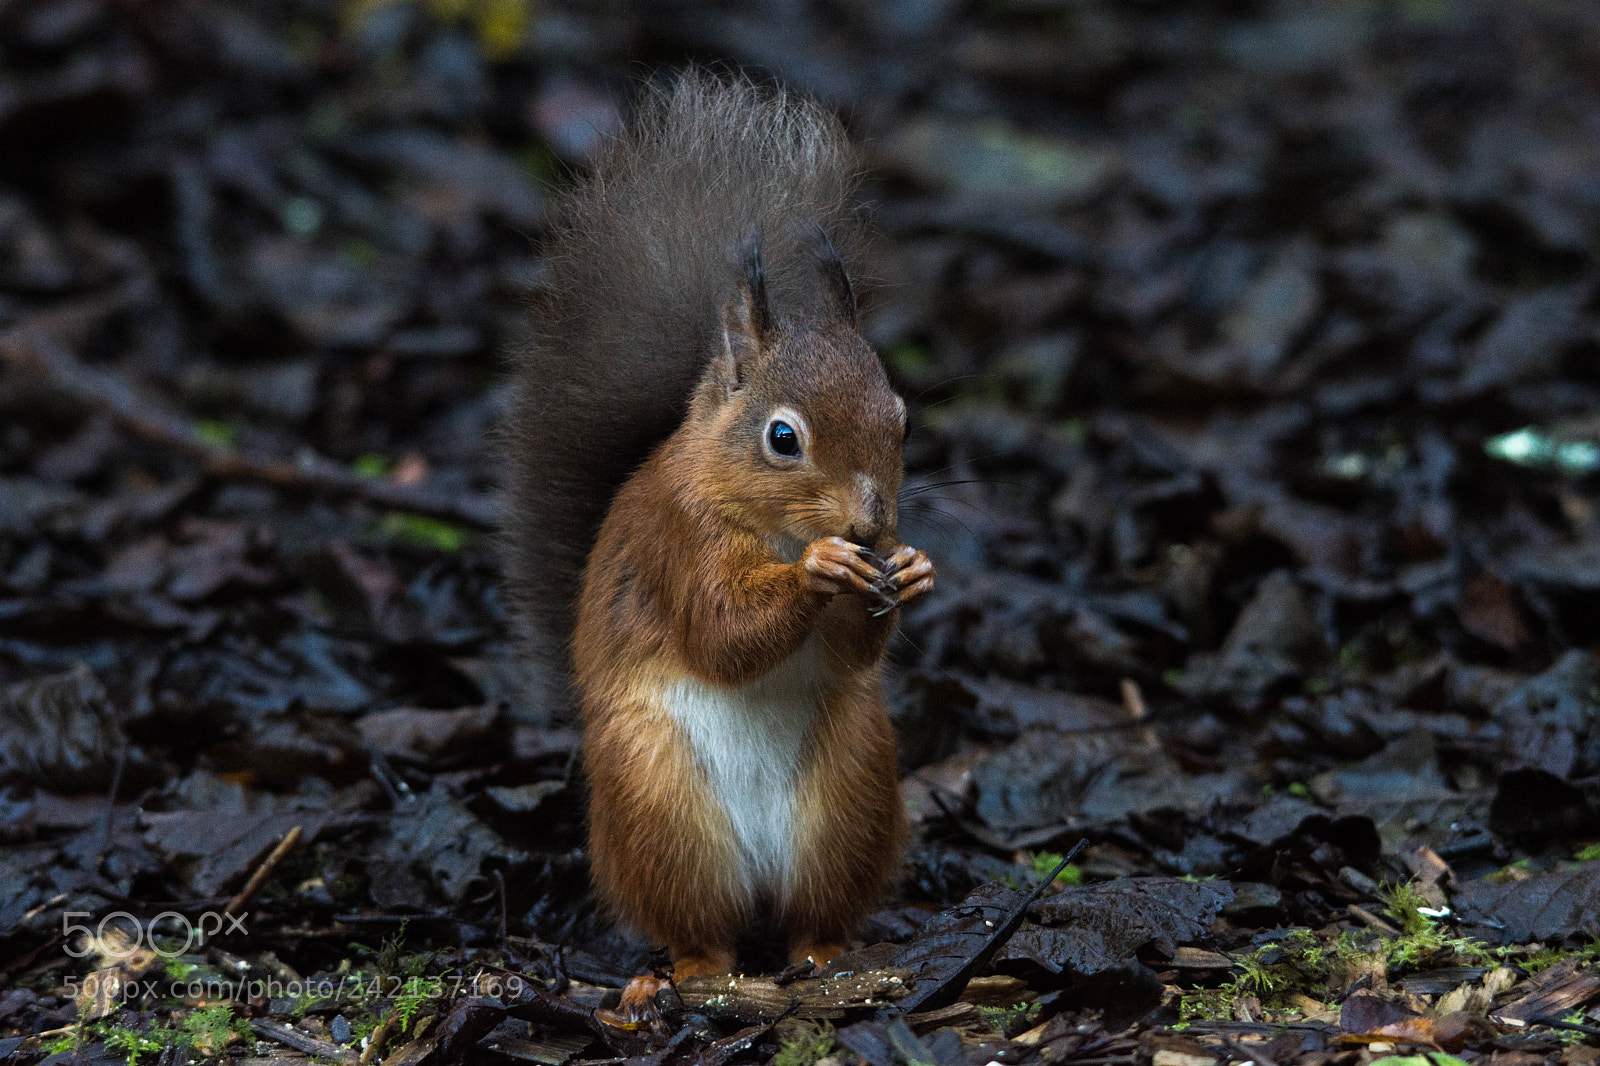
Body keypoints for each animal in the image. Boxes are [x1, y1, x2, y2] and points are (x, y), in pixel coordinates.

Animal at [503, 70, 933, 997]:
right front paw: (820, 569)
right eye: (783, 438)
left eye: (903, 419)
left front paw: (911, 571)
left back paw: (827, 953)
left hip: (849, 788)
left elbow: (852, 652)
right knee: (699, 926)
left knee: (812, 913)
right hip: (662, 804)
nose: (871, 524)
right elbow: (719, 631)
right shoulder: (678, 541)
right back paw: (695, 975)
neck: (763, 524)